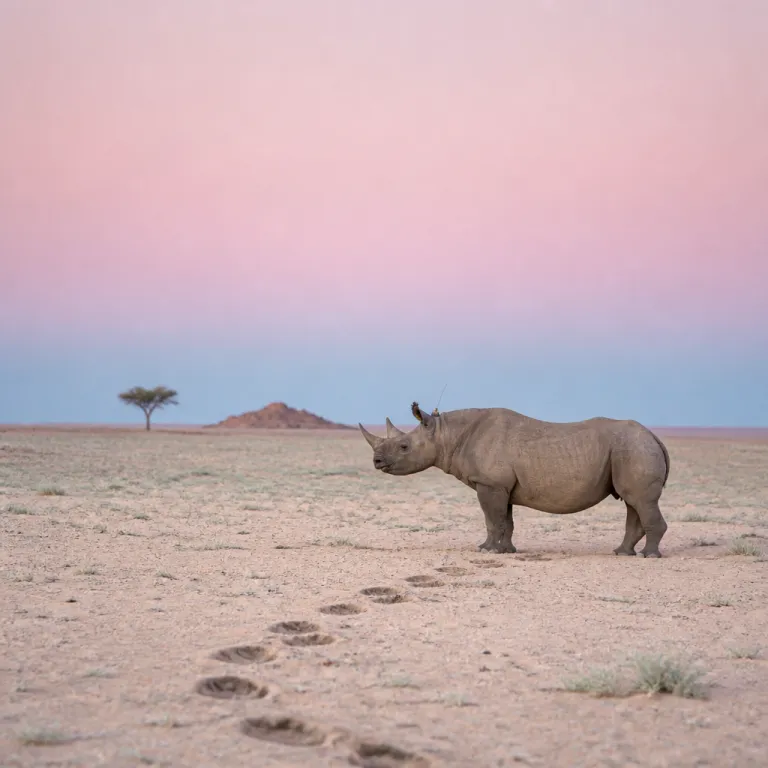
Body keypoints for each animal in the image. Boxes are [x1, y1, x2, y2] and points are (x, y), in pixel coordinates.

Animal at [359, 402, 670, 557]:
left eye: (404, 447)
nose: (376, 462)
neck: (446, 433)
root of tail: (655, 436)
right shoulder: (500, 485)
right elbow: (504, 520)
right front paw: (507, 550)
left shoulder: (489, 483)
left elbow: (491, 519)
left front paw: (486, 551)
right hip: (632, 448)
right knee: (633, 502)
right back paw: (622, 553)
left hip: (635, 448)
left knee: (640, 500)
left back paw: (648, 556)